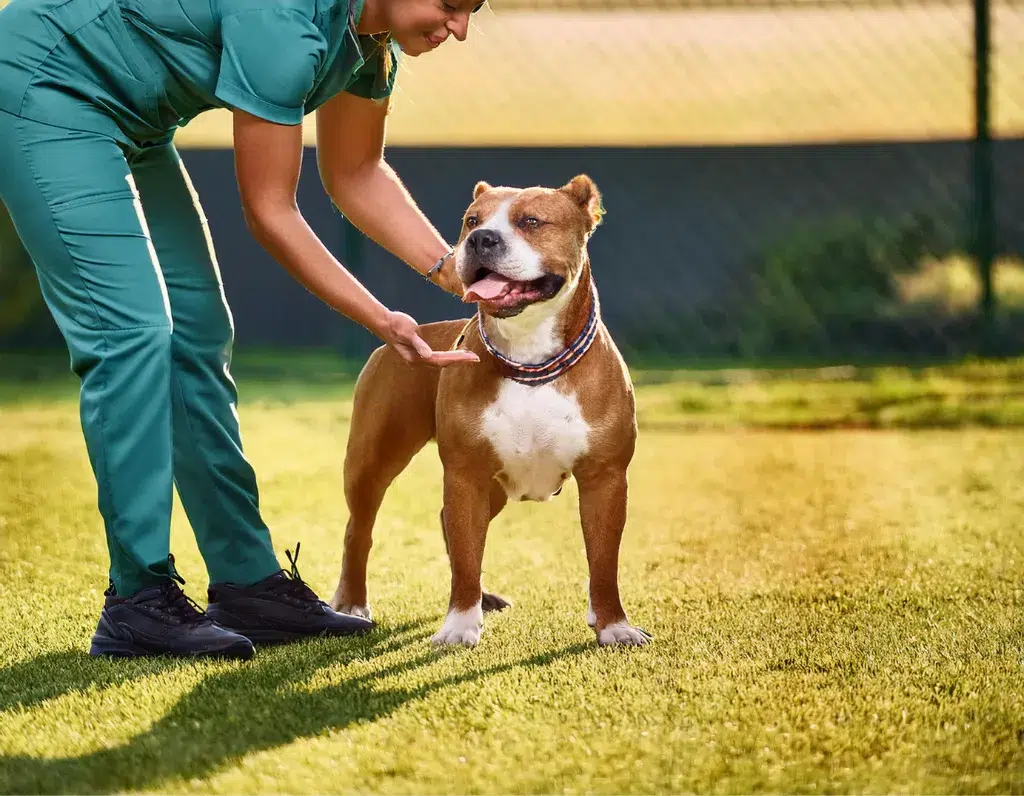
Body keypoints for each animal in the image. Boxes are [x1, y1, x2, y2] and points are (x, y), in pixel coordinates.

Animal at [327, 174, 647, 647]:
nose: (481, 239)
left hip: (493, 487)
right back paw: (351, 602)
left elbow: (604, 561)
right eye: (471, 221)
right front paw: (459, 624)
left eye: (531, 221)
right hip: (374, 460)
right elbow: (465, 552)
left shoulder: (604, 479)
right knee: (358, 530)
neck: (530, 362)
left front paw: (613, 625)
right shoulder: (465, 475)